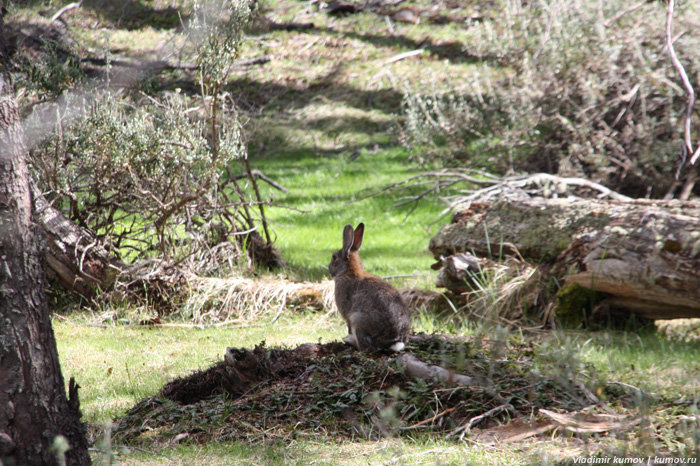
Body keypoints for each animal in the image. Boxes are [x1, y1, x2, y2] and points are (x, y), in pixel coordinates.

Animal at [328, 224, 410, 352]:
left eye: (334, 257)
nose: (329, 270)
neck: (348, 272)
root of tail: (394, 340)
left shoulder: (347, 315)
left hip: (358, 320)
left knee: (366, 347)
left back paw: (349, 340)